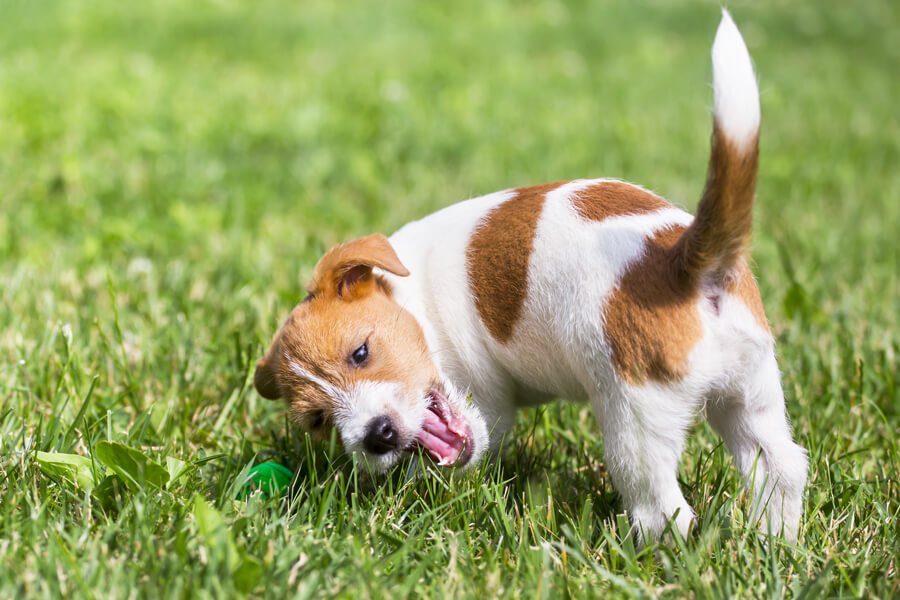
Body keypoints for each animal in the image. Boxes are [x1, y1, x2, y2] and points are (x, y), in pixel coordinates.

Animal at [251, 10, 808, 544]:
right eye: (318, 420)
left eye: (361, 353)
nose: (377, 436)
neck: (413, 299)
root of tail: (681, 261)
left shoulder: (485, 403)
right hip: (750, 392)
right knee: (780, 468)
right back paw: (773, 545)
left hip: (634, 422)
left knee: (663, 513)